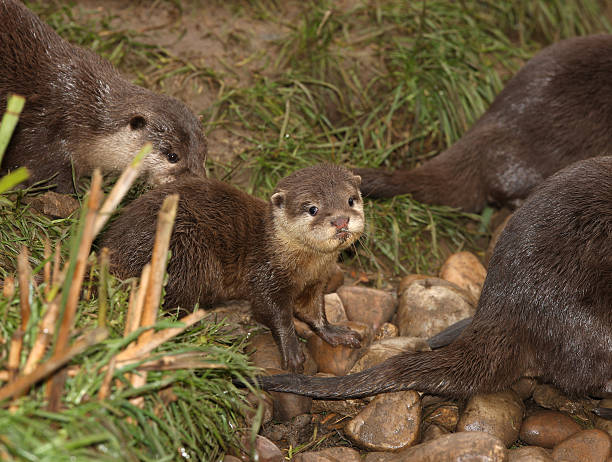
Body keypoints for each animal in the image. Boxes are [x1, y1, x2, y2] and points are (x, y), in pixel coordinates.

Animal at [103, 164, 366, 370]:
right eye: (312, 209)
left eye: (351, 199)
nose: (340, 220)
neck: (303, 266)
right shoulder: (265, 274)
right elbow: (272, 312)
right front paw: (291, 348)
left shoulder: (315, 282)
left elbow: (312, 311)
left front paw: (335, 333)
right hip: (187, 249)